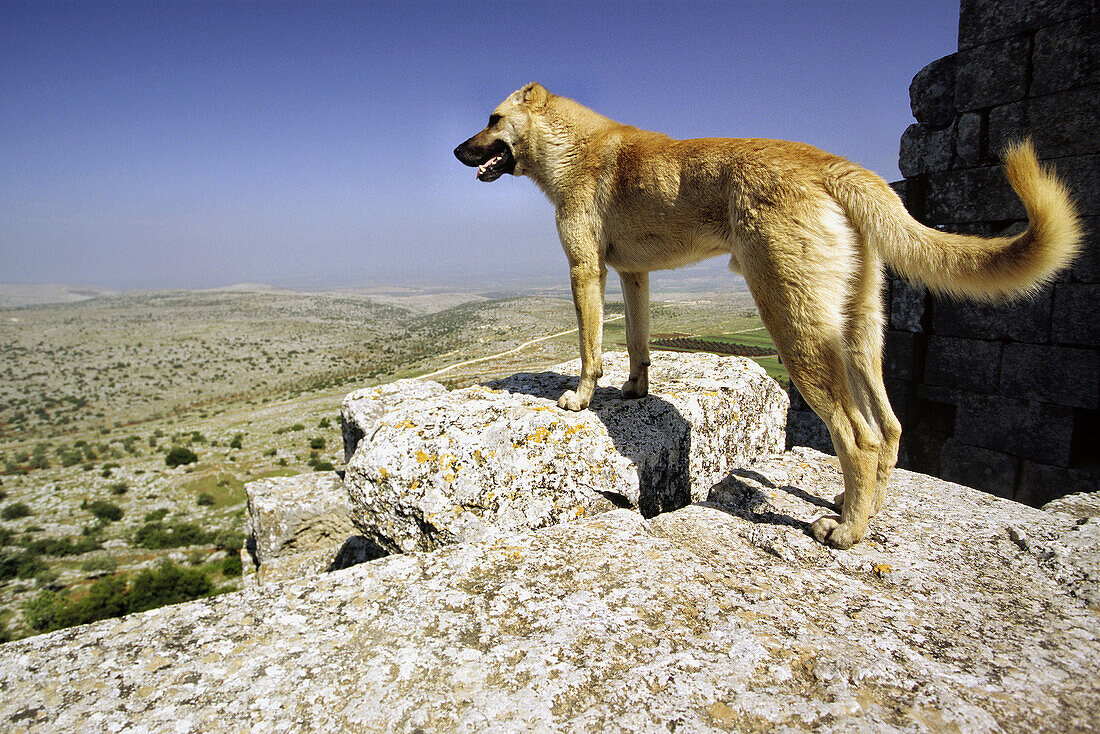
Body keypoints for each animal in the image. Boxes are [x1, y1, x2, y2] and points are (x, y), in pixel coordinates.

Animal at [455, 83, 1082, 548]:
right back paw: (864, 508)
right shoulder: (635, 276)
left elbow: (591, 348)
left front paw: (582, 398)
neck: (570, 144)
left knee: (857, 436)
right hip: (858, 331)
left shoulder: (586, 269)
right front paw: (634, 390)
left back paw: (846, 532)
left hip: (794, 327)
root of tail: (835, 165)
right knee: (889, 426)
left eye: (492, 118)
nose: (459, 152)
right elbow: (636, 343)